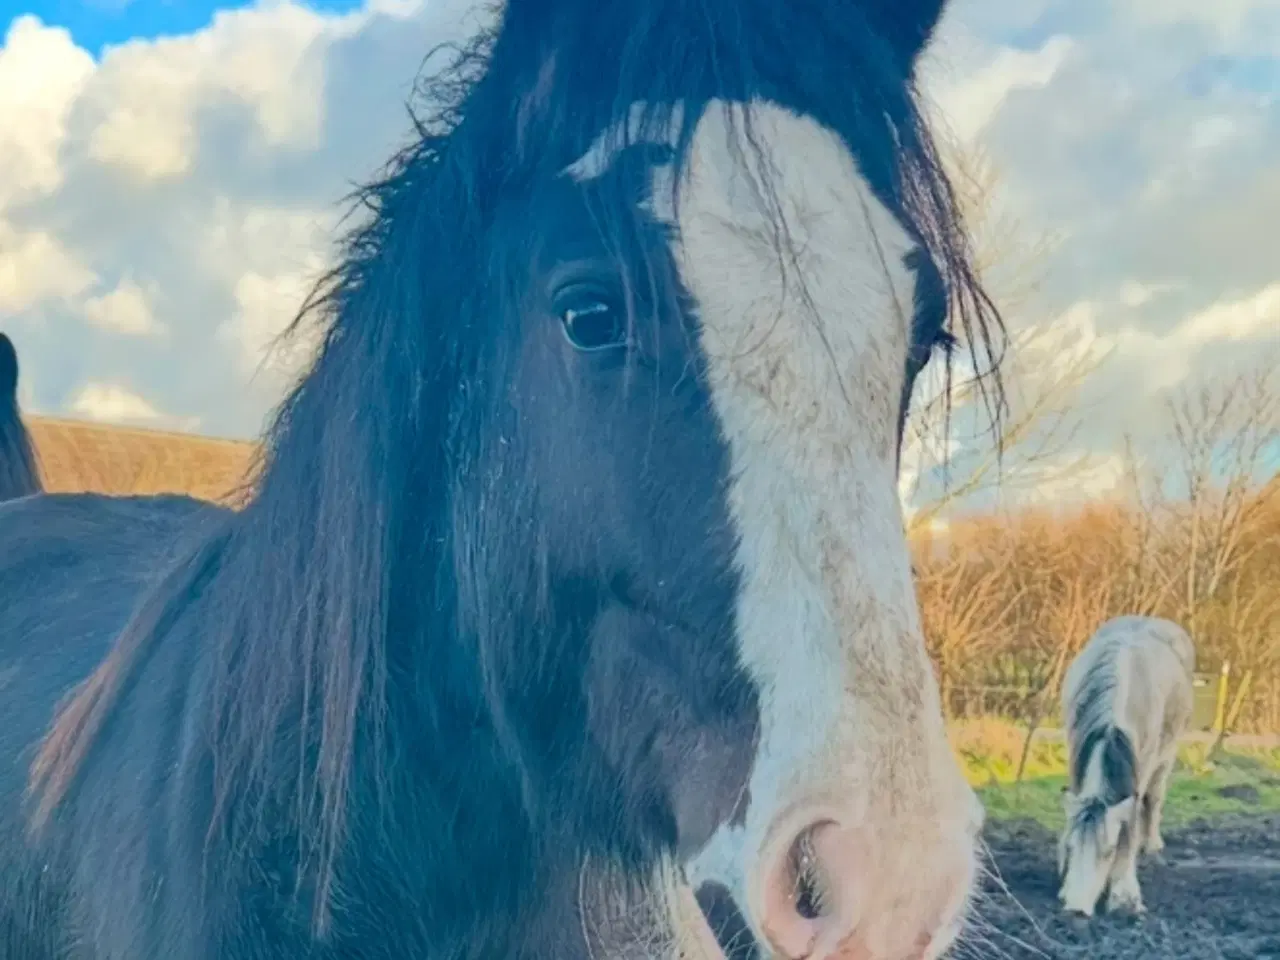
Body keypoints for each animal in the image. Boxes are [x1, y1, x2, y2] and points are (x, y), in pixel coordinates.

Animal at [1054, 619, 1192, 921]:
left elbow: (1132, 824)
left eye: (1108, 852)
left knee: (1154, 800)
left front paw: (1124, 896)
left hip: (1167, 756)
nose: (1076, 910)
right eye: (1070, 847)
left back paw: (1151, 845)